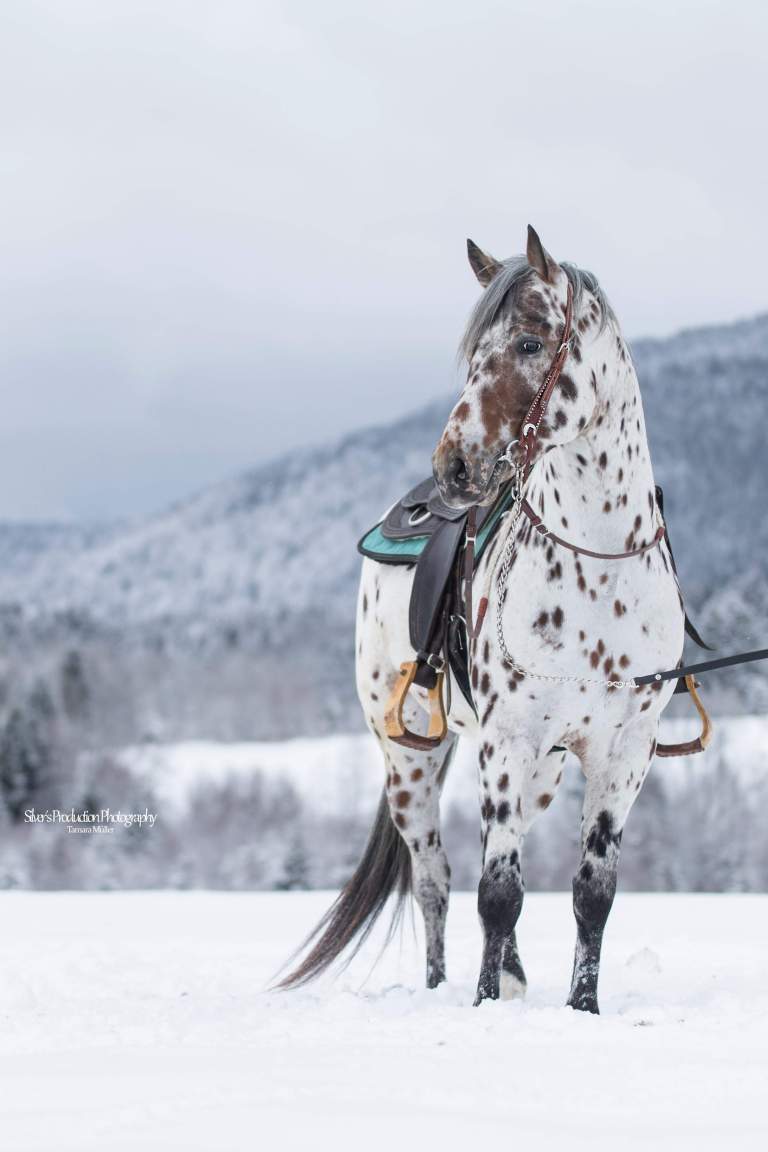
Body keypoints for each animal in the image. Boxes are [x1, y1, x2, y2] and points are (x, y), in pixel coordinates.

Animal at [279, 225, 685, 1013]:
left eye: (530, 343)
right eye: (473, 355)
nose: (455, 466)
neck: (601, 569)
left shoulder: (623, 753)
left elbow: (592, 894)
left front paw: (581, 1007)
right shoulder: (508, 739)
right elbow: (496, 894)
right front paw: (484, 1004)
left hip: (541, 770)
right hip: (412, 758)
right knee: (436, 881)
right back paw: (444, 983)